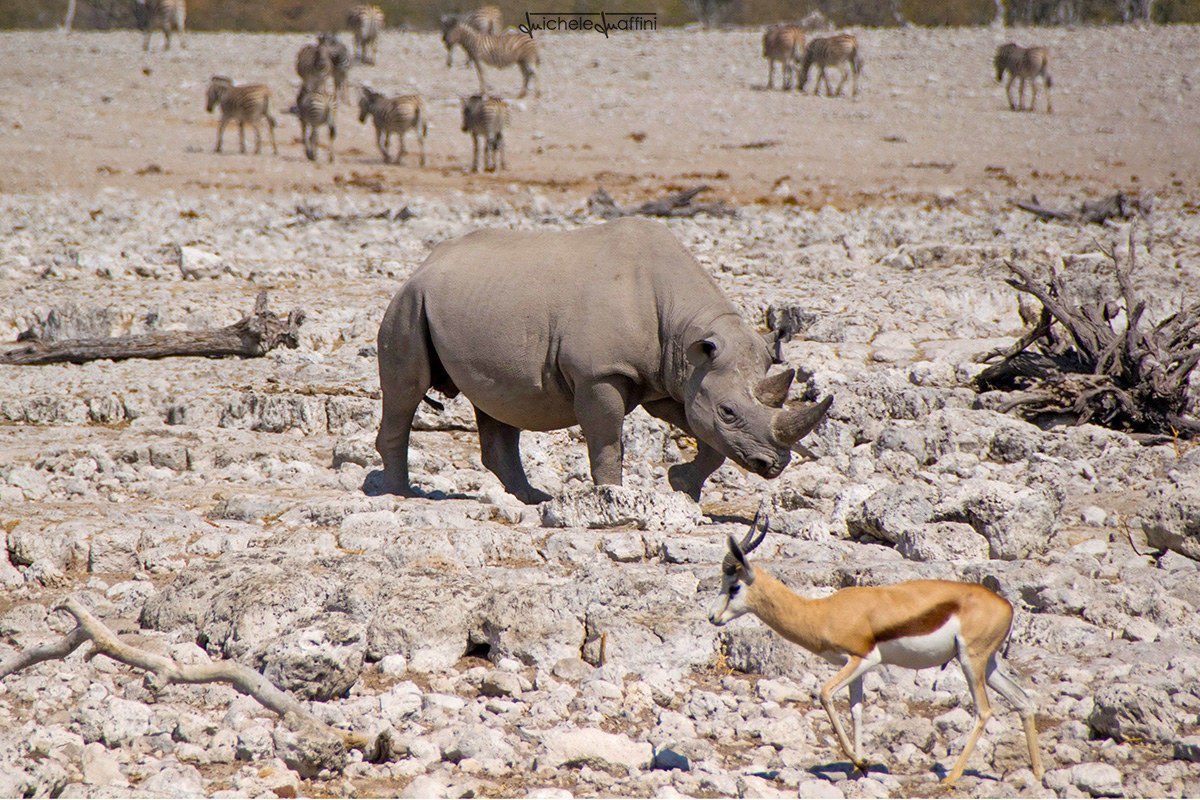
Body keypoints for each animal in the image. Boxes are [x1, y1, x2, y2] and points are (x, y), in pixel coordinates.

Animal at [373, 217, 831, 503]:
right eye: (729, 411)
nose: (773, 465)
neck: (690, 332)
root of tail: (424, 262)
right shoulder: (600, 373)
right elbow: (607, 440)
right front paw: (613, 496)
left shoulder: (672, 378)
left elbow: (709, 440)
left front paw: (680, 485)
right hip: (409, 301)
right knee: (406, 391)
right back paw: (400, 493)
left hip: (480, 304)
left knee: (498, 401)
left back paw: (530, 499)